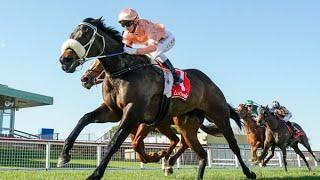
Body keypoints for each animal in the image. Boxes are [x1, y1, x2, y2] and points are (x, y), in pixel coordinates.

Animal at [58, 17, 256, 180]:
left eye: (85, 33)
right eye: (72, 33)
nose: (64, 60)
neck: (124, 70)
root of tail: (210, 83)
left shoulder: (133, 112)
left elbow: (115, 143)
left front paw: (94, 175)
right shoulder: (113, 111)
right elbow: (84, 119)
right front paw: (64, 155)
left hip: (219, 115)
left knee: (233, 145)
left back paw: (249, 172)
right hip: (186, 125)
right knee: (199, 153)